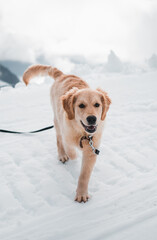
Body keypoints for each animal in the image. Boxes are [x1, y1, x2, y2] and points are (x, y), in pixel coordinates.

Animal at [22, 65, 111, 202]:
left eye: (97, 104)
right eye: (81, 105)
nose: (92, 119)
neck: (82, 133)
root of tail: (63, 75)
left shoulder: (91, 150)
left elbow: (84, 175)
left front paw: (81, 194)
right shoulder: (67, 137)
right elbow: (71, 151)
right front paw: (72, 156)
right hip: (57, 120)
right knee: (59, 139)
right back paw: (62, 155)